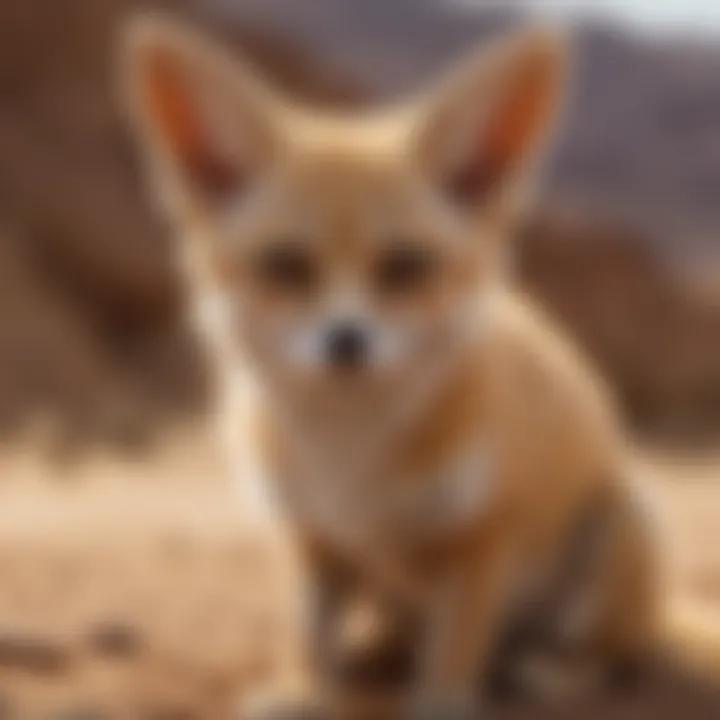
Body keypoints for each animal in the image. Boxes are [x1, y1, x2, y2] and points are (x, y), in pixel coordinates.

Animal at [121, 16, 720, 720]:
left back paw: (549, 671)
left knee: (613, 657)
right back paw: (378, 652)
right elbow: (309, 631)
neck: (352, 463)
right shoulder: (314, 541)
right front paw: (303, 687)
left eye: (404, 266)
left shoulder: (482, 541)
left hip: (621, 534)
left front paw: (441, 700)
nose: (346, 339)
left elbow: (453, 646)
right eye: (287, 266)